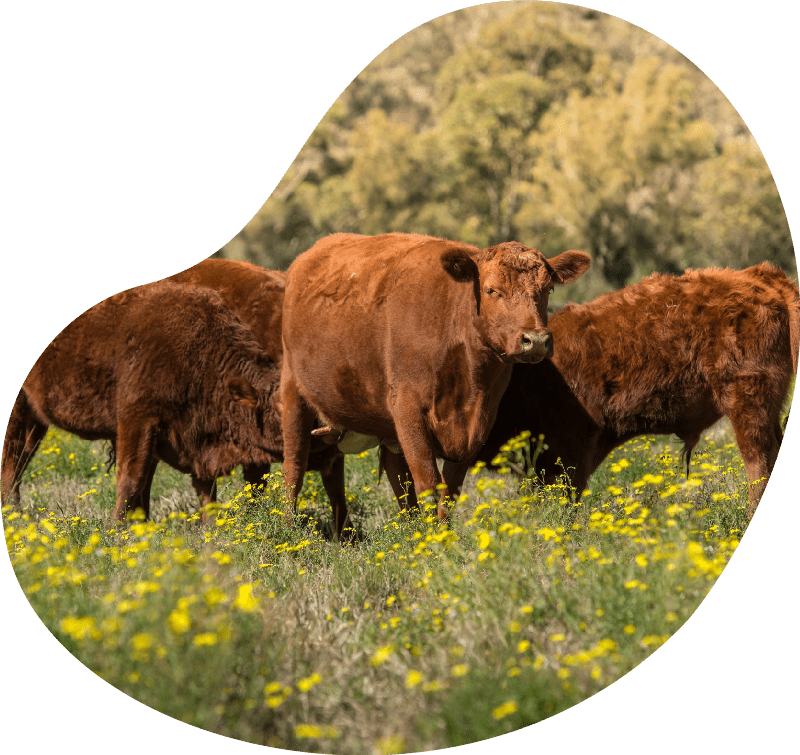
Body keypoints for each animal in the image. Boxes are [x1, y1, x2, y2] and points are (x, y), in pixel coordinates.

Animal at [1, 280, 305, 523]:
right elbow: (131, 480)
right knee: (10, 457)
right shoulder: (136, 421)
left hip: (35, 419)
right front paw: (116, 529)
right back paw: (11, 513)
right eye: (279, 405)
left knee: (21, 458)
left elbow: (199, 489)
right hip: (18, 411)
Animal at [279, 232, 590, 520]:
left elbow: (449, 490)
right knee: (293, 467)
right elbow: (428, 483)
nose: (535, 340)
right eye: (491, 290)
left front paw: (442, 535)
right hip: (293, 393)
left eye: (548, 288)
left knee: (394, 478)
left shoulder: (479, 421)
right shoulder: (408, 410)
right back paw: (287, 526)